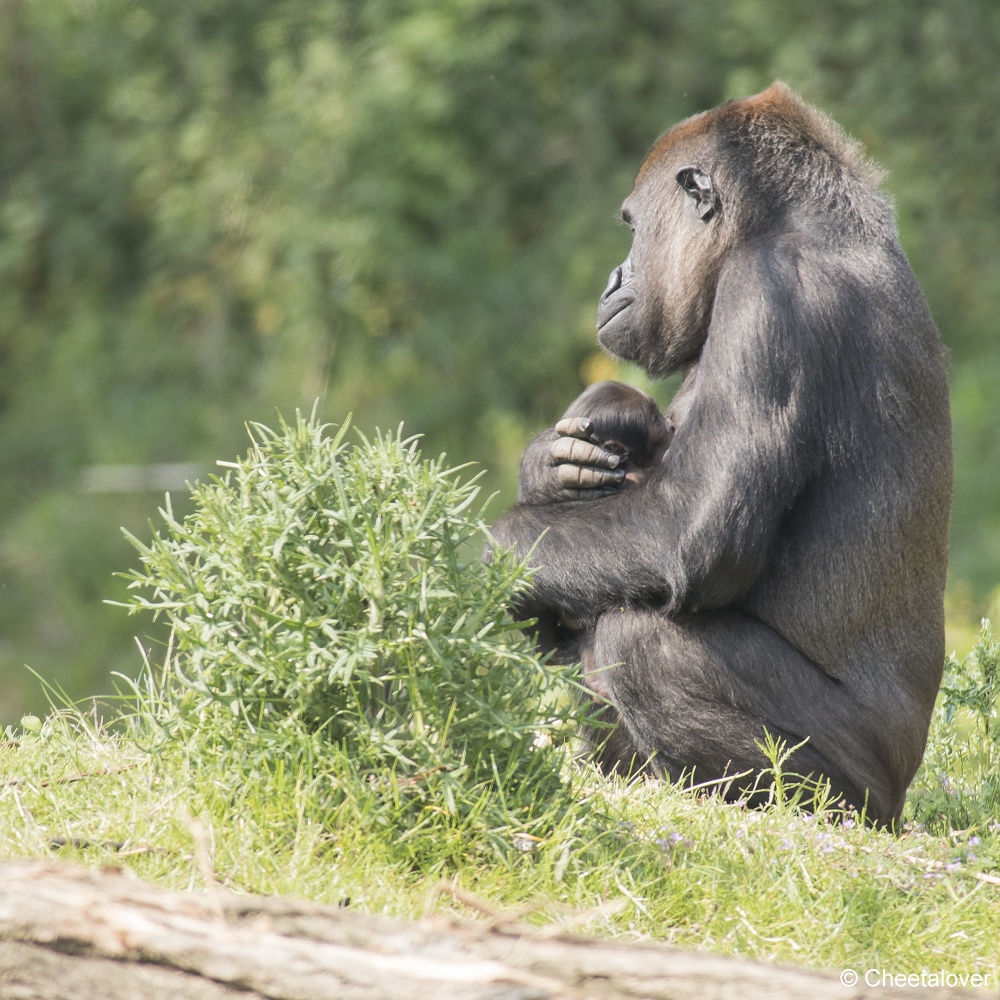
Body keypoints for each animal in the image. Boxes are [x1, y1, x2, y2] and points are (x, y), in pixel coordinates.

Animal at [492, 82, 952, 824]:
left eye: (633, 226)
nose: (614, 275)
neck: (800, 226)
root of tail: (899, 799)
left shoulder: (770, 292)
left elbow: (689, 529)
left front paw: (498, 553)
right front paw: (548, 469)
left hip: (866, 792)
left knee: (639, 640)